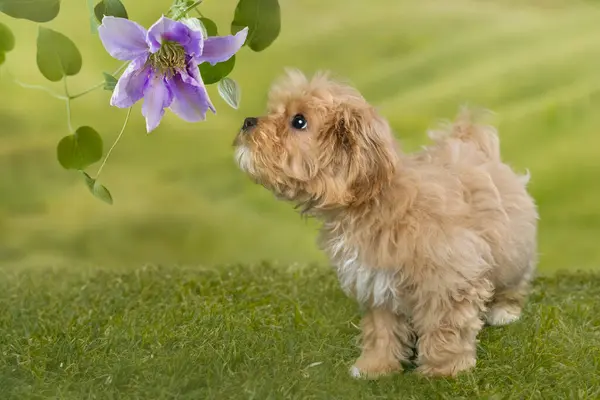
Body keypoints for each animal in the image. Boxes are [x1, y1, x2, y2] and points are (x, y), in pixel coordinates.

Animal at [233, 70, 540, 380]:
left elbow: (445, 325)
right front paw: (375, 366)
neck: (373, 200)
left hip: (512, 246)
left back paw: (505, 311)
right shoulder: (376, 281)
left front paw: (442, 370)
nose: (248, 122)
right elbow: (381, 328)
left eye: (299, 121)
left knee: (515, 278)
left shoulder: (448, 275)